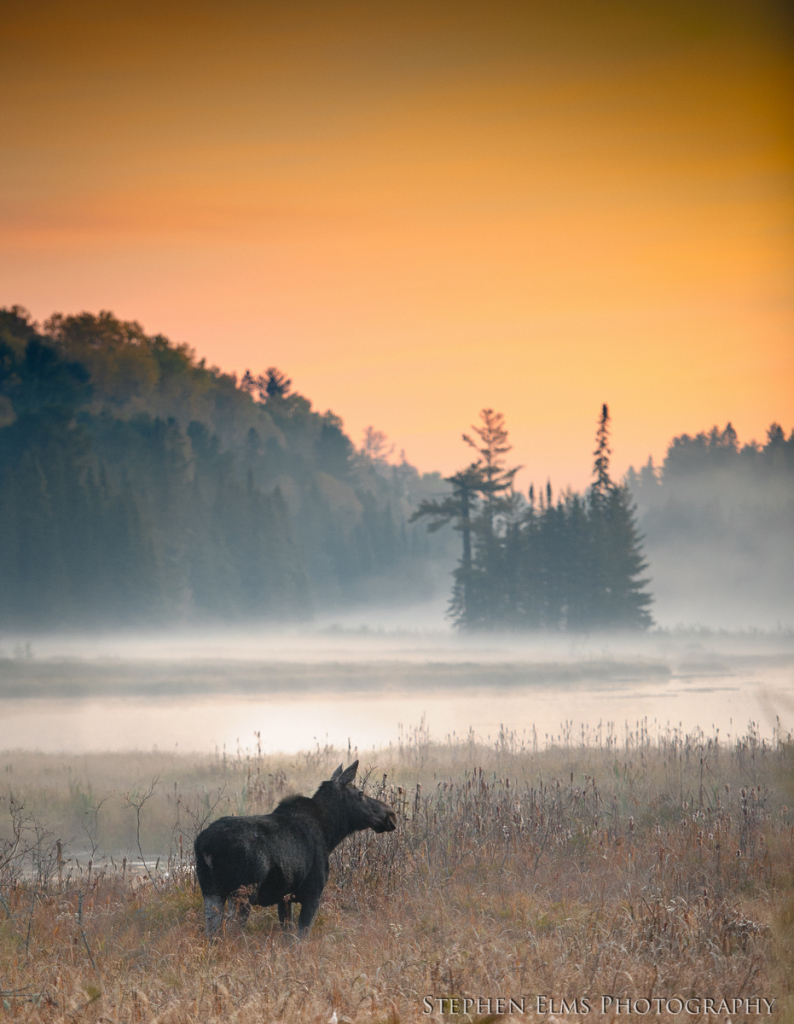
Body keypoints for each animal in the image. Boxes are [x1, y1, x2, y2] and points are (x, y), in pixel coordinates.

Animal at [193, 761, 397, 937]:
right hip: (243, 892)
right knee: (232, 930)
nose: (391, 815)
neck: (330, 834)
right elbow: (300, 938)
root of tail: (204, 846)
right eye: (360, 793)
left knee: (212, 931)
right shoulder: (312, 893)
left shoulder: (284, 898)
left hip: (211, 890)